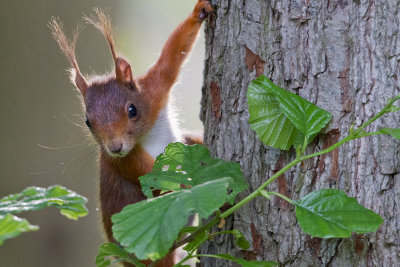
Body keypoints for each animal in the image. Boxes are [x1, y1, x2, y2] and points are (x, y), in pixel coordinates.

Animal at [50, 1, 214, 266]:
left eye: (132, 109)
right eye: (88, 122)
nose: (115, 147)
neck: (145, 135)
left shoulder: (154, 90)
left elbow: (172, 55)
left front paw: (199, 12)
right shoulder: (126, 163)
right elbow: (160, 181)